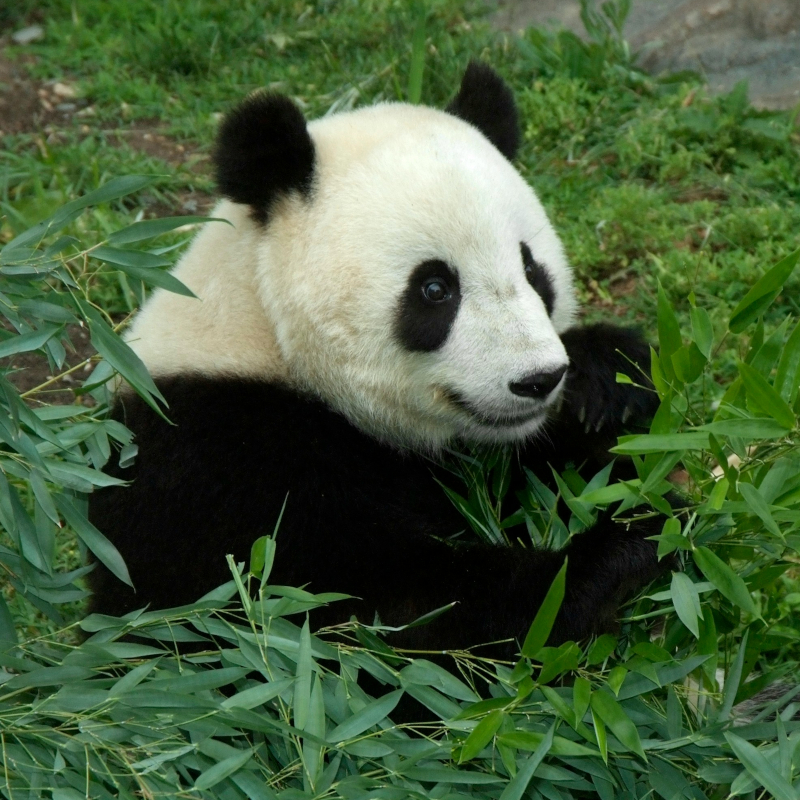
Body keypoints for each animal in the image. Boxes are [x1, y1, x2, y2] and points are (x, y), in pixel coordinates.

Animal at [88, 63, 667, 653]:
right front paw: (606, 560)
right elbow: (363, 607)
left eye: (532, 270)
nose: (538, 380)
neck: (262, 333)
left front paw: (606, 384)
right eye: (435, 288)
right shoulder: (212, 461)